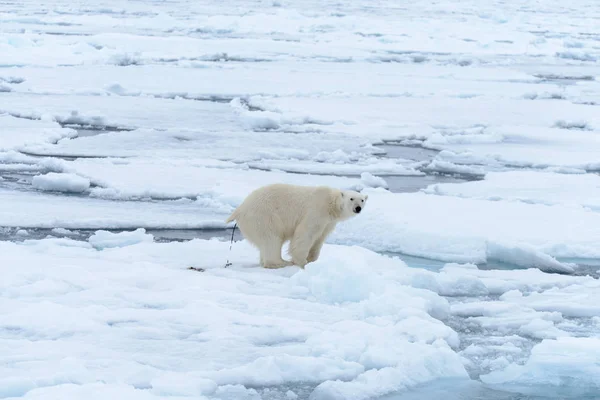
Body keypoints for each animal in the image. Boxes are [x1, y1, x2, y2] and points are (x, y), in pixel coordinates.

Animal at [224, 184, 366, 268]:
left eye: (362, 200)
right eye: (351, 198)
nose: (358, 208)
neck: (331, 203)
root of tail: (240, 209)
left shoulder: (329, 222)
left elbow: (319, 238)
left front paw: (312, 260)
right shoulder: (317, 210)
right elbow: (306, 234)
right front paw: (302, 262)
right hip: (264, 216)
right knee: (272, 239)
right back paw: (281, 262)